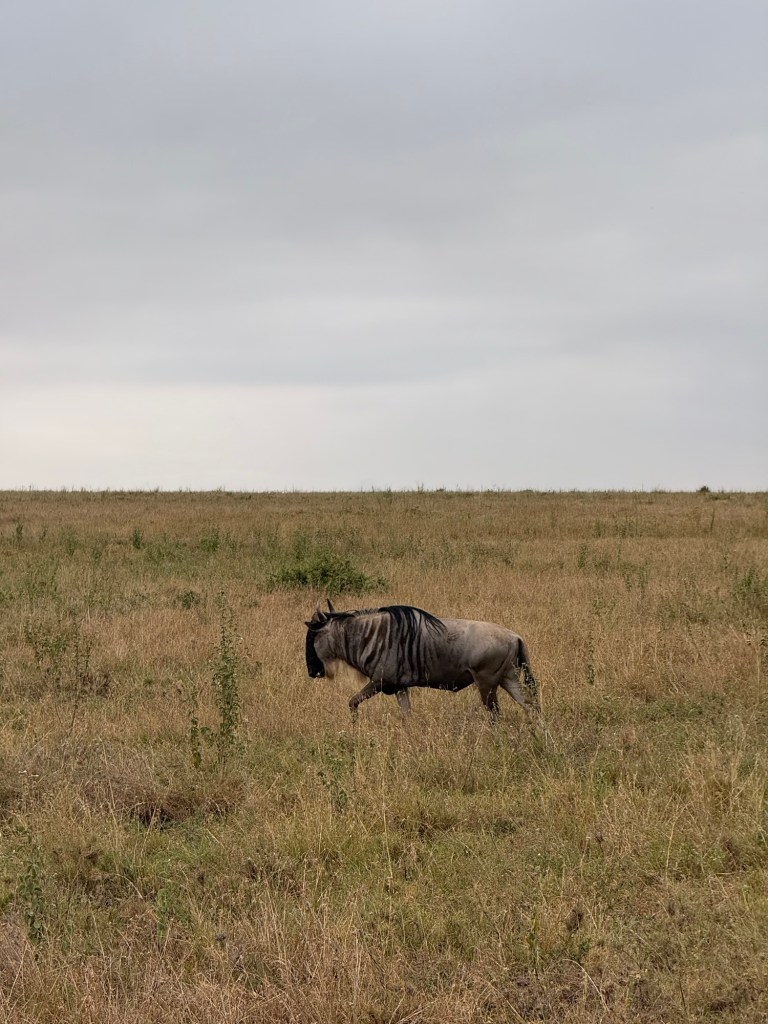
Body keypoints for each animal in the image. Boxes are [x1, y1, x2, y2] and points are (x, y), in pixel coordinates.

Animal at [305, 601, 542, 726]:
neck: (370, 636)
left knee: (495, 714)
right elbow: (406, 715)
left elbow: (352, 702)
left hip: (487, 684)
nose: (311, 671)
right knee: (530, 705)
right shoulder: (399, 687)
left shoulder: (380, 682)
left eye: (312, 636)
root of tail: (515, 636)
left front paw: (355, 726)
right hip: (508, 679)